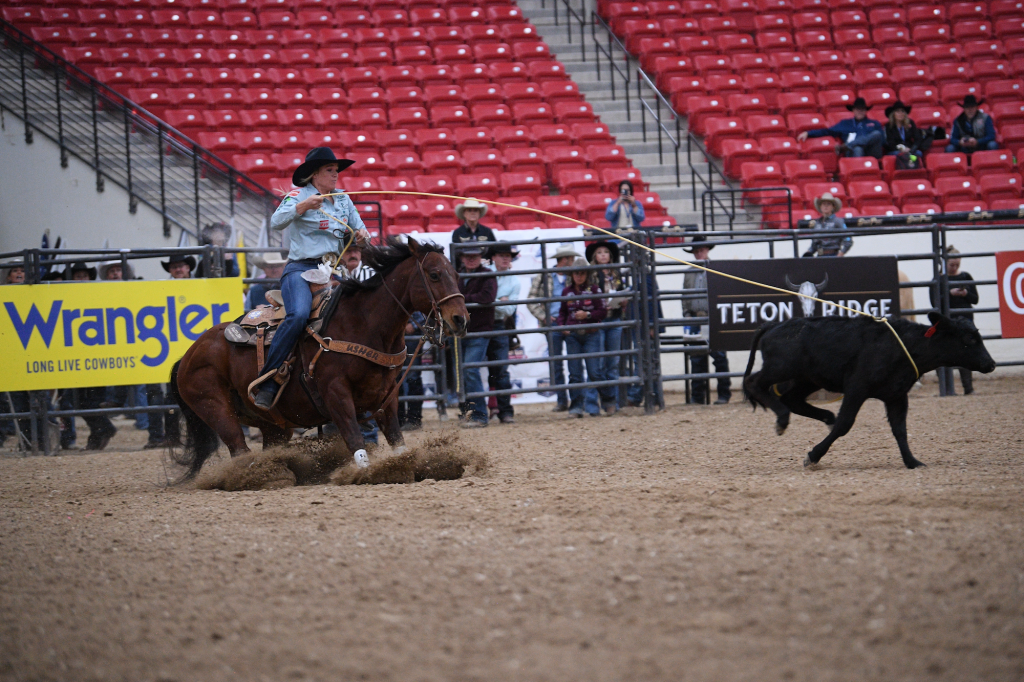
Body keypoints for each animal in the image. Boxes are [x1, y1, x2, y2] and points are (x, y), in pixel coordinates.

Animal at [168, 237, 469, 482]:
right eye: (434, 274)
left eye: (456, 273)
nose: (460, 319)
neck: (364, 323)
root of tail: (188, 355)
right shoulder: (335, 393)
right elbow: (354, 437)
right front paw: (366, 472)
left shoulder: (387, 397)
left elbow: (397, 441)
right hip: (215, 407)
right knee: (239, 448)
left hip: (273, 426)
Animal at [743, 312, 996, 469]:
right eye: (969, 338)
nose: (991, 363)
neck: (904, 346)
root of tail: (772, 325)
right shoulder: (857, 388)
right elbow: (845, 424)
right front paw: (813, 456)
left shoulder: (897, 395)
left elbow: (900, 430)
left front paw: (912, 461)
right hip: (781, 368)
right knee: (754, 383)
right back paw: (782, 420)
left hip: (808, 378)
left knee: (791, 399)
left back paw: (824, 416)